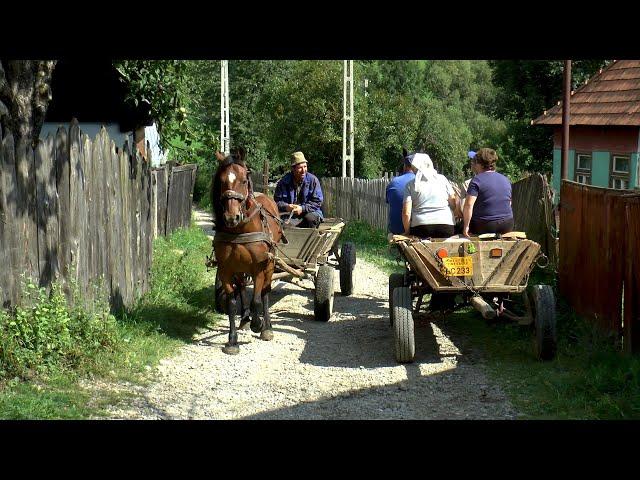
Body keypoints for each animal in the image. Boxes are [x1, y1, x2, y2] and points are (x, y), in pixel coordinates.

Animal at [212, 148, 282, 354]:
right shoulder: (226, 269)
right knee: (242, 287)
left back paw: (266, 327)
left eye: (244, 180)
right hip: (240, 268)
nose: (231, 217)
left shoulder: (259, 268)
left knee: (265, 291)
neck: (240, 231)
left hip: (270, 264)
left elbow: (257, 299)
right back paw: (244, 318)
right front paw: (232, 340)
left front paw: (258, 324)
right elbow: (232, 303)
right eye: (221, 181)